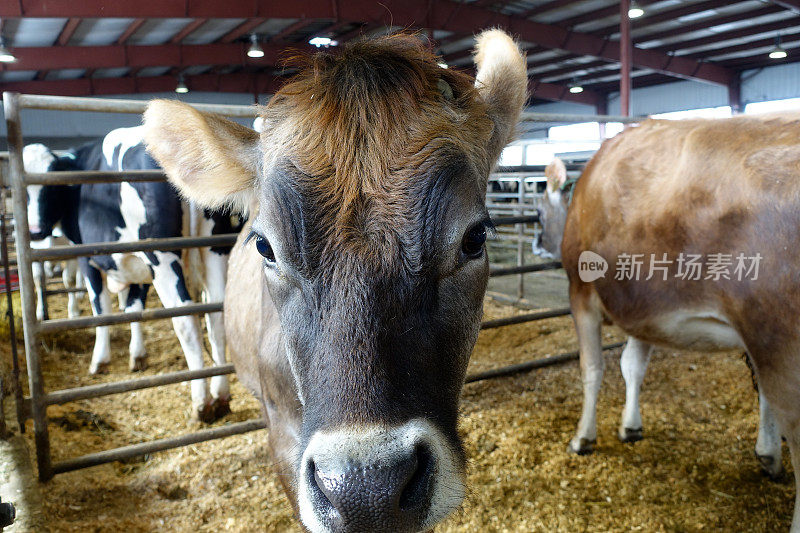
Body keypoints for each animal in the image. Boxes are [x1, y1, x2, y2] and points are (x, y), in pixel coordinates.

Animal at [25, 127, 238, 422]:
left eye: (50, 186)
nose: (34, 231)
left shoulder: (87, 257)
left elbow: (101, 310)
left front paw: (99, 360)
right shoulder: (137, 265)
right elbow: (133, 308)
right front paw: (137, 357)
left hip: (161, 257)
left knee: (186, 320)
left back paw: (201, 402)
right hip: (214, 249)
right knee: (216, 315)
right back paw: (221, 395)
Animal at [552, 116, 800, 528]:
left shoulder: (581, 291)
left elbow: (593, 369)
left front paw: (583, 438)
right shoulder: (644, 308)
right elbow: (633, 366)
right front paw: (630, 426)